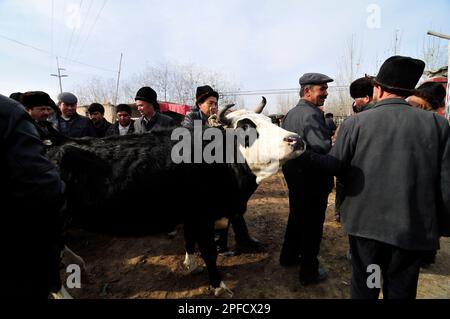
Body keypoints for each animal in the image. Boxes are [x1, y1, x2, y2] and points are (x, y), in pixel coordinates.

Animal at [47, 99, 304, 298]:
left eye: (271, 121)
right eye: (245, 128)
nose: (296, 140)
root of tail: (57, 144)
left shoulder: (193, 214)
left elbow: (189, 239)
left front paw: (191, 265)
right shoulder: (202, 216)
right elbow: (209, 252)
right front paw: (219, 286)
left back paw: (79, 262)